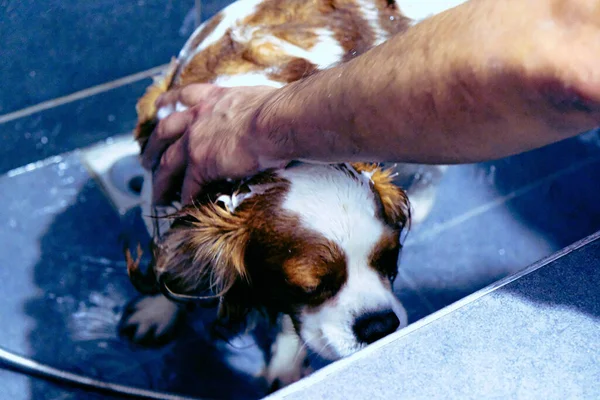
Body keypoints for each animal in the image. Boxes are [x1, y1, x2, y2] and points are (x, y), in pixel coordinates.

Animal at [117, 0, 448, 390]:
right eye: (310, 287)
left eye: (390, 261)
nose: (380, 326)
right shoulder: (158, 189)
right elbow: (168, 258)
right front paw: (158, 308)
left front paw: (285, 365)